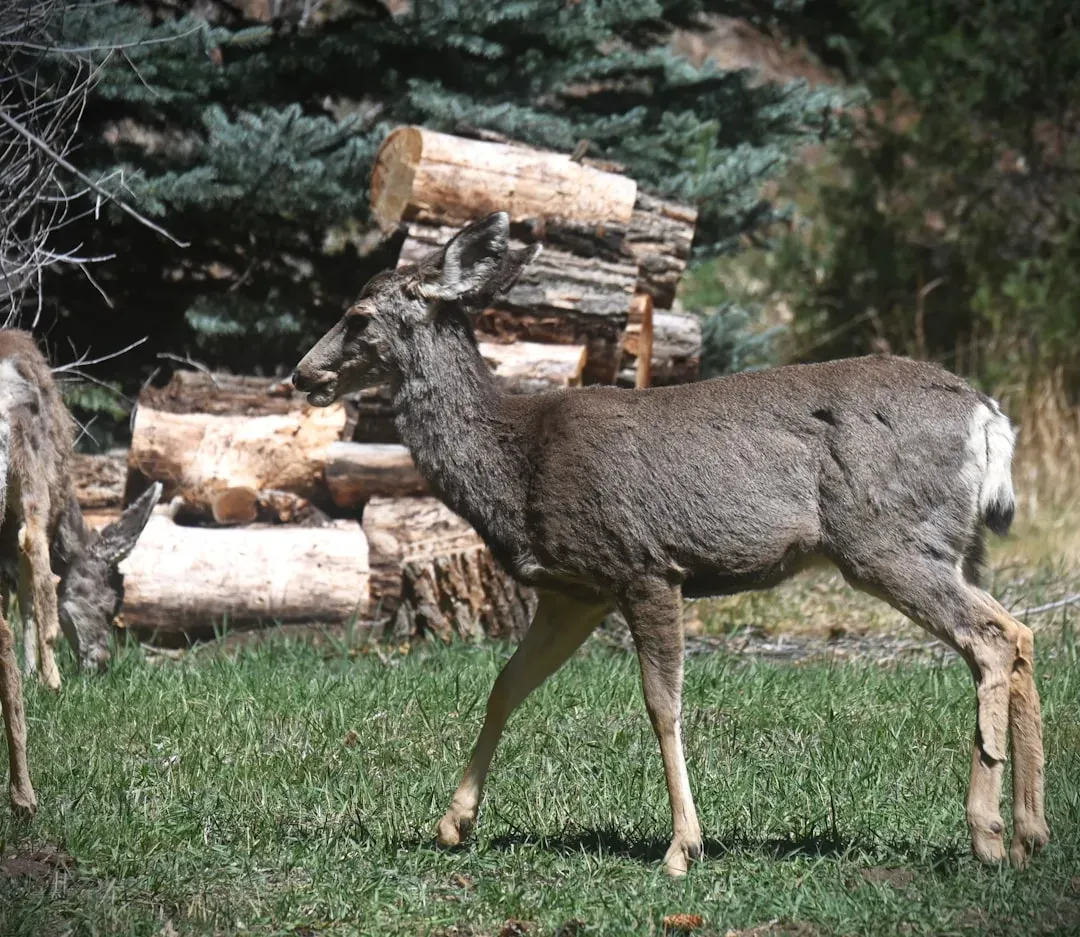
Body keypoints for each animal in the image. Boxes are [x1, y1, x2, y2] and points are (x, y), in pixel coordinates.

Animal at [0, 328, 161, 816]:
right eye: (110, 604)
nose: (103, 662)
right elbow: (32, 591)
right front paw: (40, 670)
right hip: (30, 471)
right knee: (36, 555)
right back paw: (52, 682)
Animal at [291, 212, 1049, 877]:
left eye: (358, 317)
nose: (302, 374)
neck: (517, 459)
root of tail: (988, 415)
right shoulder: (576, 591)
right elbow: (506, 685)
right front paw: (454, 822)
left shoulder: (644, 564)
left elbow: (662, 704)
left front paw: (683, 847)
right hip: (956, 546)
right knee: (1018, 634)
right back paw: (1029, 835)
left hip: (887, 538)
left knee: (992, 638)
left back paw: (986, 834)